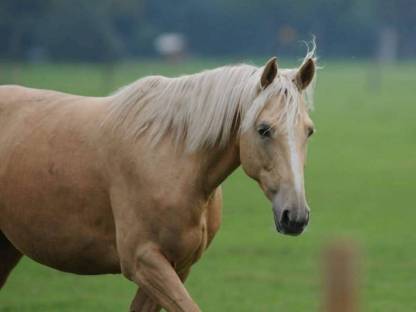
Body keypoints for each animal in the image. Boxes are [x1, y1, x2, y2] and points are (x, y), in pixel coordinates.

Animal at [0, 50, 316, 310]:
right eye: (264, 129)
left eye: (309, 131)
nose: (295, 216)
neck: (172, 158)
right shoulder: (144, 261)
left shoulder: (178, 266)